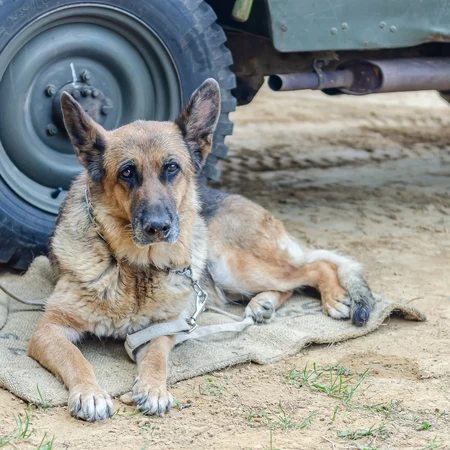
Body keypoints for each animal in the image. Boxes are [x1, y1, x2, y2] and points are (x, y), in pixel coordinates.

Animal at [27, 79, 375, 422]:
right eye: (127, 172)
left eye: (171, 168)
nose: (158, 227)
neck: (134, 267)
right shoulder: (49, 329)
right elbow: (76, 358)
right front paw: (90, 393)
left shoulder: (164, 329)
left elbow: (156, 360)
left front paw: (154, 389)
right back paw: (264, 304)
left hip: (232, 266)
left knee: (314, 267)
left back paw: (332, 297)